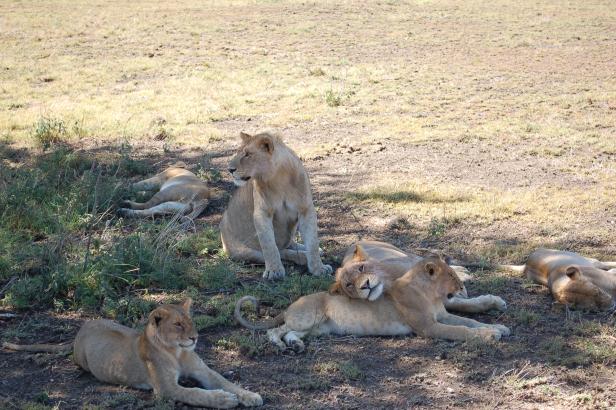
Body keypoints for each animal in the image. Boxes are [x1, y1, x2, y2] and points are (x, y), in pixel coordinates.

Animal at [3, 300, 262, 408]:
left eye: (191, 322)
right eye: (178, 325)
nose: (195, 338)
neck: (178, 352)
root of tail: (81, 329)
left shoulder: (203, 371)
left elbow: (226, 381)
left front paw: (250, 396)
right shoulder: (166, 389)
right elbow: (196, 393)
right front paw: (224, 400)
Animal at [218, 131, 330, 278]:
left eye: (248, 154)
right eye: (237, 153)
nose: (229, 169)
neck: (278, 178)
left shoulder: (306, 209)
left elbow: (312, 242)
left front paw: (319, 268)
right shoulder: (262, 213)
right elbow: (269, 245)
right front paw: (274, 271)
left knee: (290, 244)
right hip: (245, 251)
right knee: (282, 251)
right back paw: (302, 257)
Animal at [233, 253, 508, 352]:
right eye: (451, 275)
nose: (462, 287)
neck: (430, 294)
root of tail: (291, 306)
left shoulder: (442, 315)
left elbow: (468, 321)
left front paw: (496, 327)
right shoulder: (429, 327)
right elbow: (461, 330)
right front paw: (488, 335)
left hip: (316, 328)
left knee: (291, 333)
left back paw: (295, 345)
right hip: (307, 317)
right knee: (275, 330)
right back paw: (281, 344)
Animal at [330, 239, 508, 312]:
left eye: (361, 268)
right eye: (349, 285)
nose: (365, 285)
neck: (388, 282)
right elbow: (462, 304)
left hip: (405, 254)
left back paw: (463, 272)